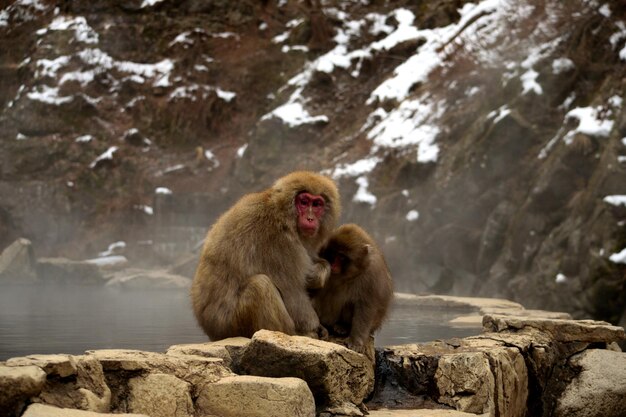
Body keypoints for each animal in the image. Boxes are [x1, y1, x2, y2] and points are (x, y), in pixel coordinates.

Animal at [190, 171, 338, 340]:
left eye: (317, 204)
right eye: (304, 202)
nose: (310, 218)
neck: (282, 215)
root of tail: (210, 330)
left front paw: (320, 271)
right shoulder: (278, 242)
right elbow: (292, 292)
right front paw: (313, 327)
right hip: (231, 325)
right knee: (260, 285)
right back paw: (291, 333)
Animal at [314, 223, 392, 352]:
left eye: (341, 257)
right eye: (333, 253)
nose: (333, 265)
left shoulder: (371, 274)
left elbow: (365, 306)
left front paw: (356, 341)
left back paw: (343, 327)